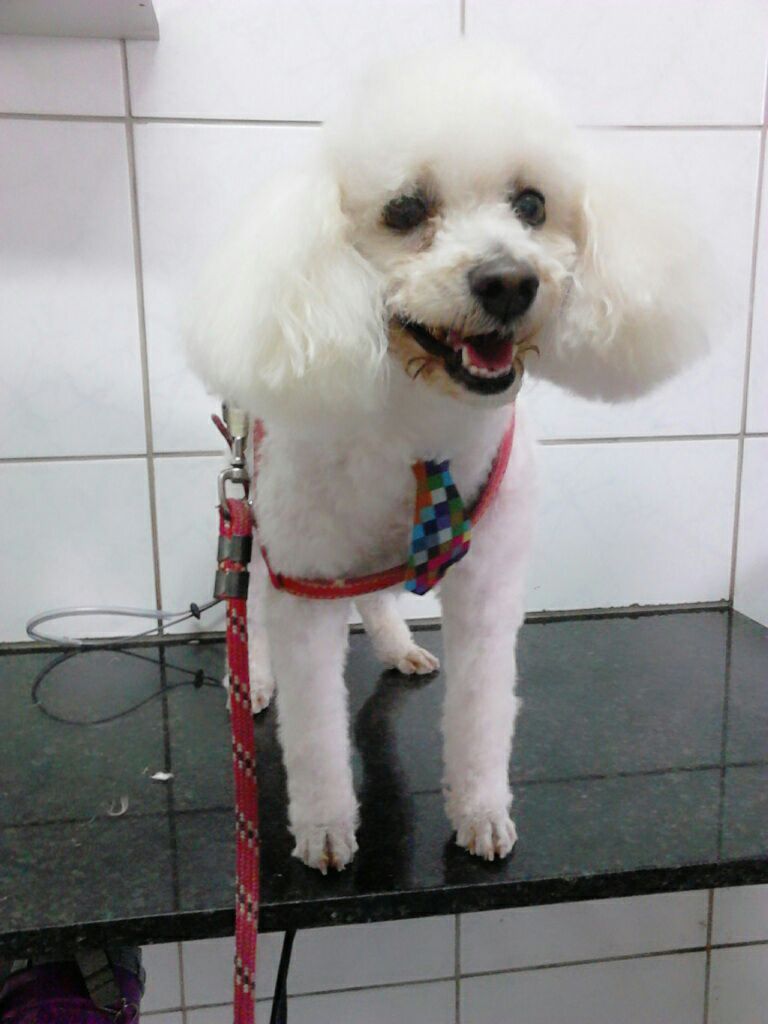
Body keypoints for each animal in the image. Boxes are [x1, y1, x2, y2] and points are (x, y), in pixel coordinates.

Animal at [187, 48, 706, 872]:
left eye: (531, 203)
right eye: (404, 210)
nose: (509, 280)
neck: (418, 432)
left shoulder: (489, 588)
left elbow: (483, 711)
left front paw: (482, 811)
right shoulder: (305, 579)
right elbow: (314, 732)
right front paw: (325, 827)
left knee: (374, 596)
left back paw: (400, 648)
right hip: (259, 515)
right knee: (255, 605)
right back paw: (258, 678)